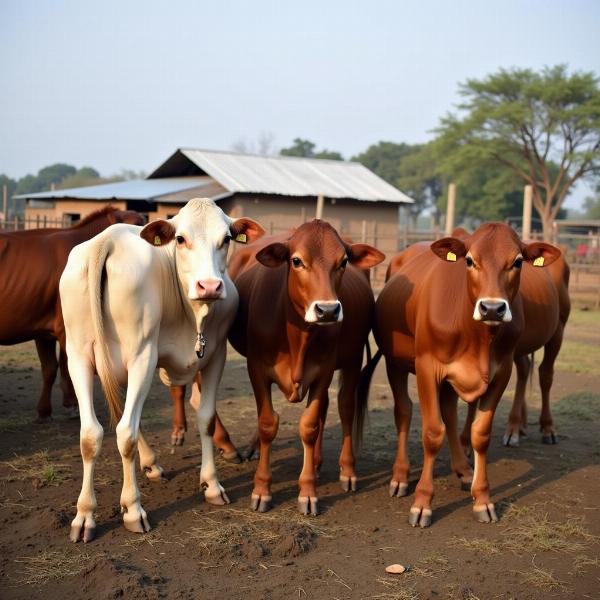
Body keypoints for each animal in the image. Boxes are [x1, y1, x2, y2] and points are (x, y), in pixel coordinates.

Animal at [0, 209, 145, 420]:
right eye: (135, 227)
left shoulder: (43, 331)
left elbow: (49, 368)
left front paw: (44, 410)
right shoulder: (66, 329)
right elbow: (66, 366)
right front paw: (72, 405)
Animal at [60, 199, 262, 540]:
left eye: (226, 239)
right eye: (180, 239)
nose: (209, 286)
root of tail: (105, 241)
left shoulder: (211, 354)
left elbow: (202, 417)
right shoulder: (213, 356)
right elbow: (205, 418)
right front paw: (212, 484)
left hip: (80, 357)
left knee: (93, 434)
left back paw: (86, 513)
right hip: (139, 355)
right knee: (125, 430)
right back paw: (133, 508)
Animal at [227, 220, 382, 516]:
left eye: (343, 261)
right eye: (297, 261)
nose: (328, 310)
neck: (297, 334)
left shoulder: (323, 372)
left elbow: (309, 426)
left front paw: (308, 491)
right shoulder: (257, 369)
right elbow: (267, 423)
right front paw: (262, 489)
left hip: (352, 359)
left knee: (344, 407)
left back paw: (346, 470)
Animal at [366, 223, 564, 528]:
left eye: (518, 261)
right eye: (470, 260)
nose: (492, 308)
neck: (476, 336)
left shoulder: (500, 371)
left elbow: (480, 433)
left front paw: (482, 499)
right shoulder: (427, 367)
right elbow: (432, 432)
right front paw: (422, 503)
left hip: (558, 330)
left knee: (541, 375)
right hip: (394, 362)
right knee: (405, 411)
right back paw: (400, 475)